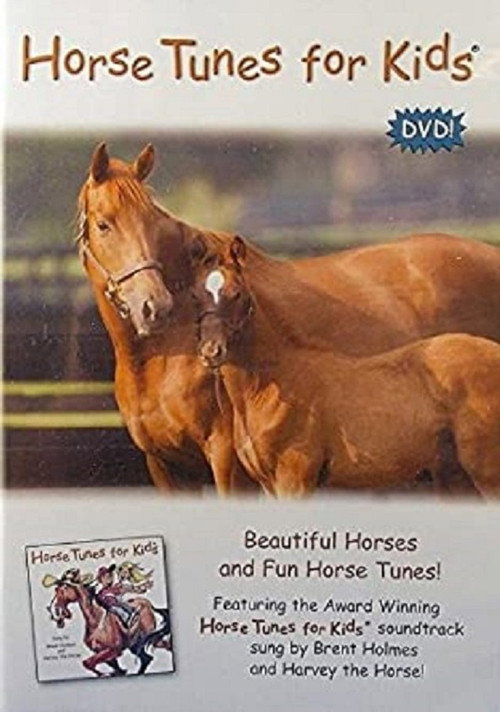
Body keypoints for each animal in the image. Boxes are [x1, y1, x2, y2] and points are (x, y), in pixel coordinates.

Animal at [42, 570, 171, 676]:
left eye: (64, 588)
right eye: (56, 589)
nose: (54, 610)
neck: (97, 623)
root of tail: (148, 604)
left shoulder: (114, 651)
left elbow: (87, 663)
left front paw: (105, 674)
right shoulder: (104, 654)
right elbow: (106, 667)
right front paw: (113, 672)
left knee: (149, 657)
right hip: (140, 643)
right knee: (149, 657)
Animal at [192, 236, 500, 498]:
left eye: (237, 293)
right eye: (197, 296)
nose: (211, 352)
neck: (274, 382)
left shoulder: (295, 477)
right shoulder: (269, 485)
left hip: (486, 472)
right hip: (456, 476)